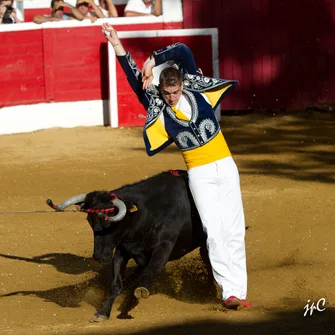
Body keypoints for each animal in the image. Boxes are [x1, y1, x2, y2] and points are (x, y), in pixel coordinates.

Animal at [48, 171, 214, 322]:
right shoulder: (122, 251)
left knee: (208, 261)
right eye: (90, 221)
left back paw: (209, 294)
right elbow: (116, 284)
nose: (99, 256)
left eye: (109, 223)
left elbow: (150, 270)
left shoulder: (163, 248)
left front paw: (139, 291)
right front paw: (103, 312)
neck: (148, 212)